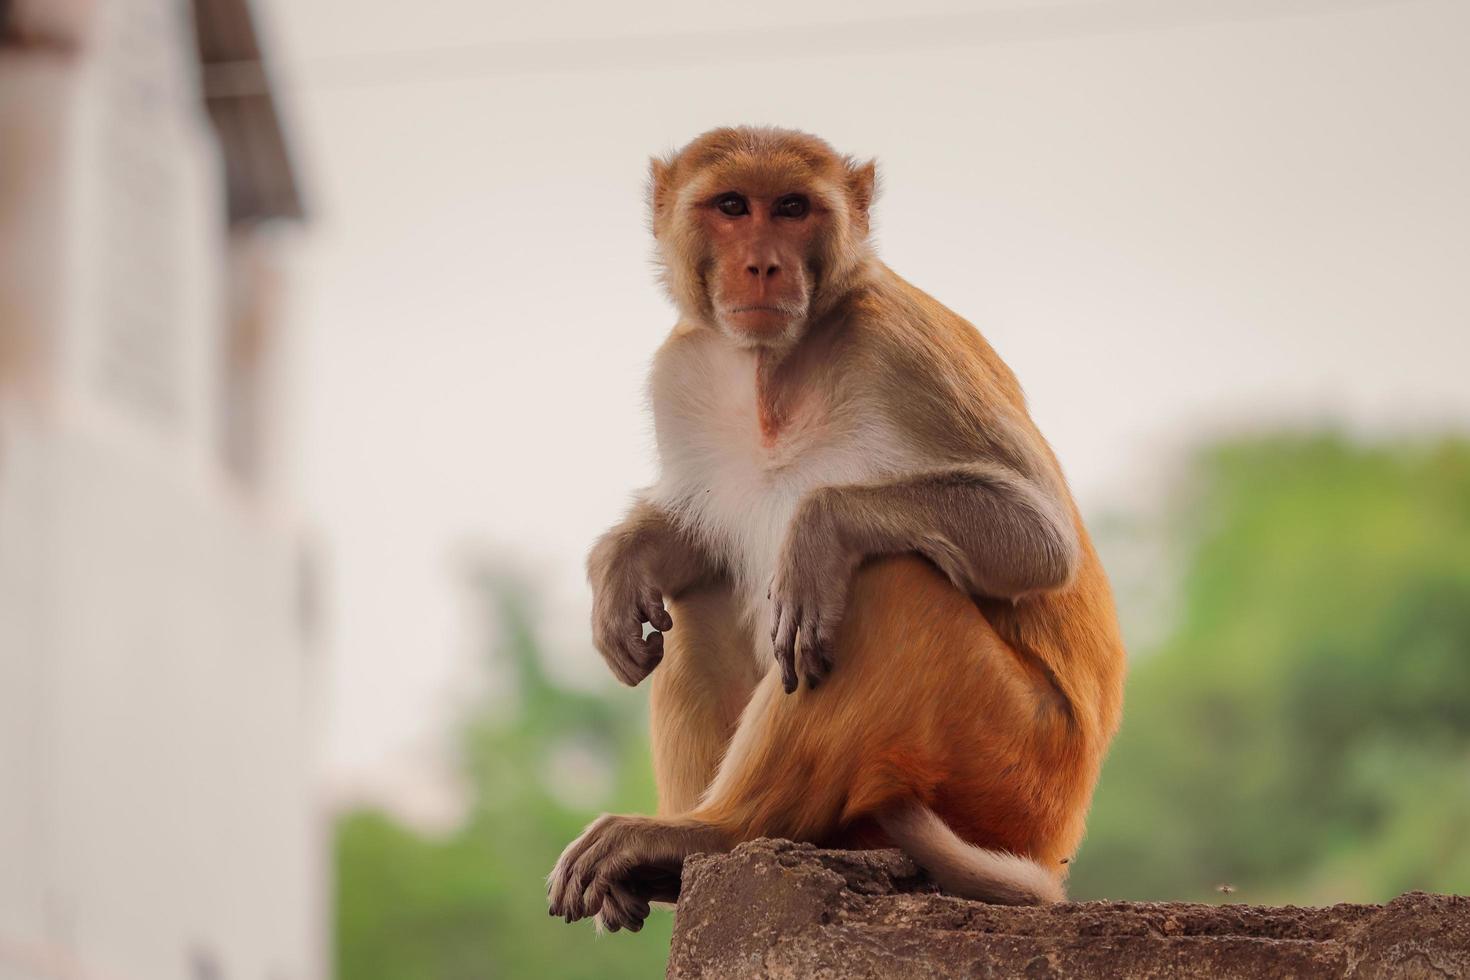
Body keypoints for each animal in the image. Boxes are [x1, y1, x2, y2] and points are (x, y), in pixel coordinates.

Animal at [549, 126, 1123, 934]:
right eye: (733, 206)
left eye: (793, 208)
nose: (762, 263)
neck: (776, 368)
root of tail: (1057, 839)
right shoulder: (682, 368)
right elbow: (696, 543)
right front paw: (622, 562)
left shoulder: (902, 348)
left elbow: (1038, 540)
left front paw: (817, 529)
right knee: (700, 593)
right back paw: (683, 855)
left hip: (1014, 768)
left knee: (883, 578)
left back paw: (713, 830)